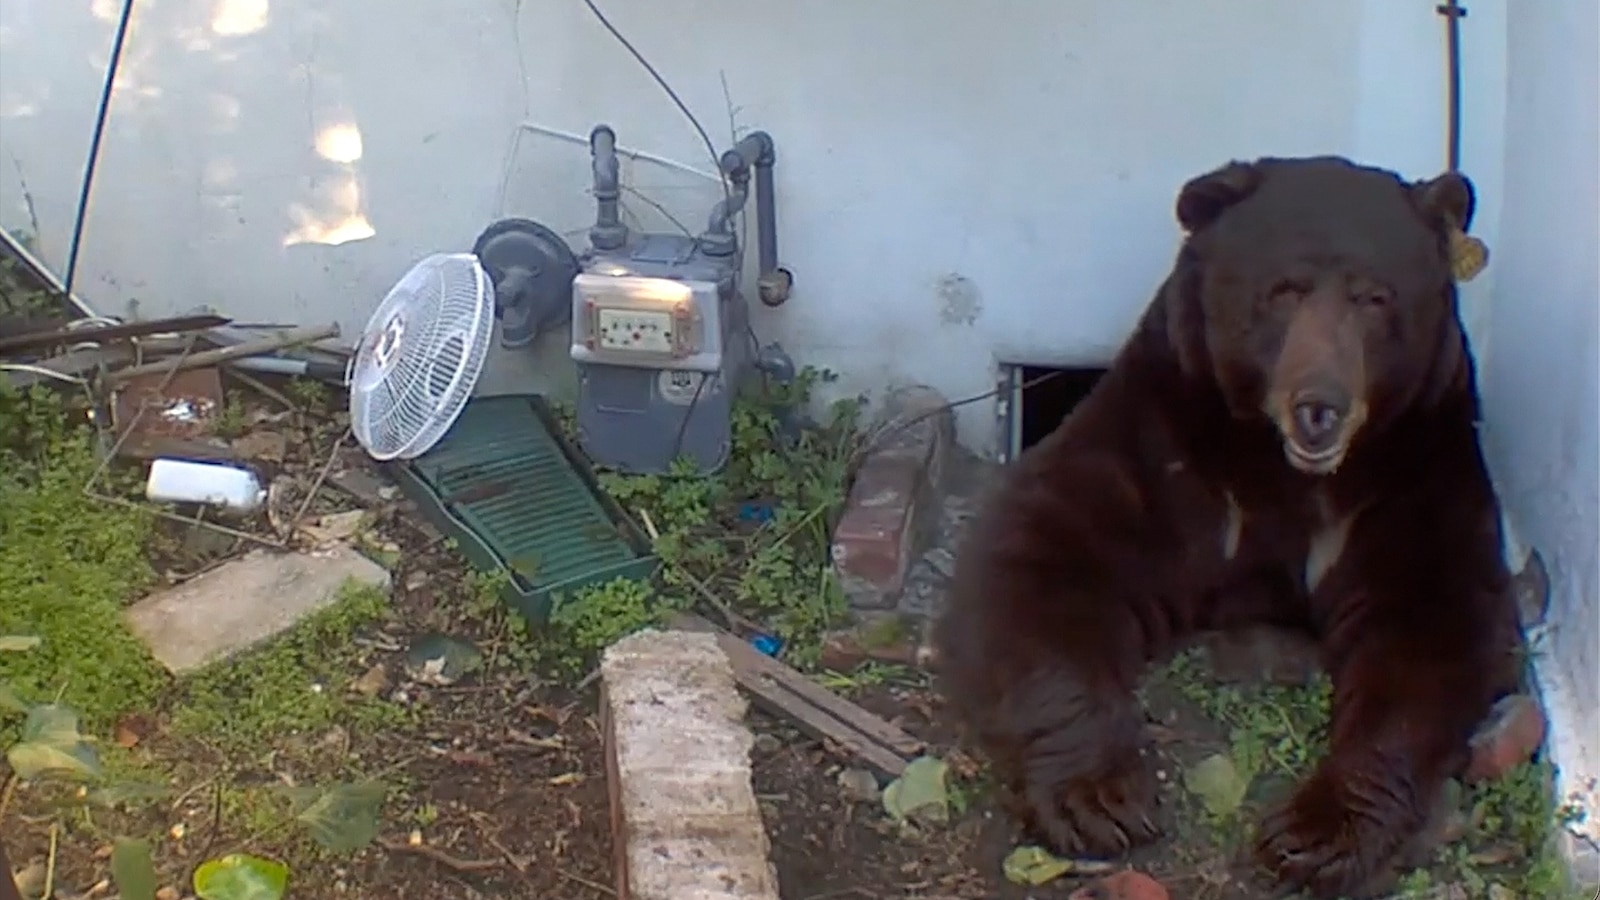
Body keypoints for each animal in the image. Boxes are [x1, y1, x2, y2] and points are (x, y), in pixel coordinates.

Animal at [932, 155, 1524, 899]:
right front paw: (1102, 796)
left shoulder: (1414, 472)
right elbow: (1043, 549)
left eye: (1375, 297)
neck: (1281, 468)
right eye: (1284, 290)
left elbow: (1432, 626)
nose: (1320, 407)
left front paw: (1314, 833)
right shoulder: (1165, 443)